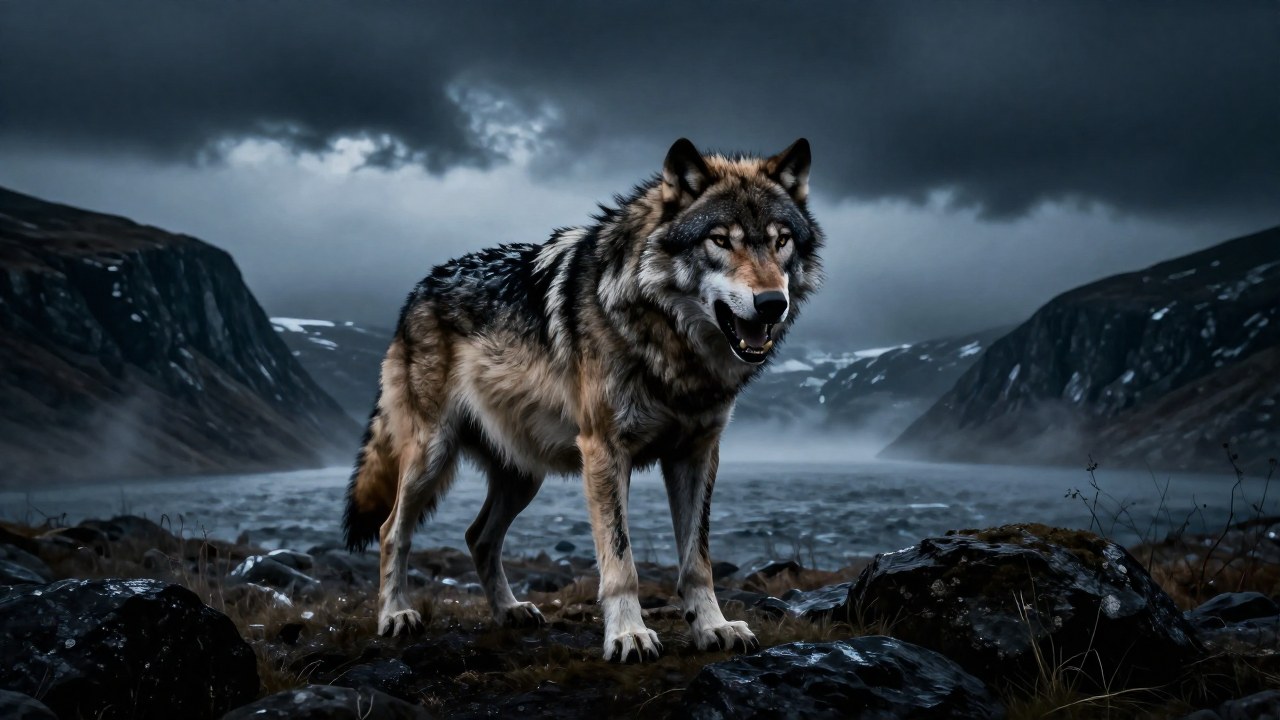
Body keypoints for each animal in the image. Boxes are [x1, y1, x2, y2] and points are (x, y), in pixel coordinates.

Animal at [343, 138, 823, 662]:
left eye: (781, 241)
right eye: (720, 240)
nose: (772, 303)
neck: (671, 351)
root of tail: (419, 288)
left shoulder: (697, 454)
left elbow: (698, 561)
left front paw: (713, 627)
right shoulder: (605, 450)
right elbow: (621, 560)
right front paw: (628, 635)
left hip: (523, 474)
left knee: (478, 537)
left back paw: (509, 611)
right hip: (432, 455)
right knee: (393, 530)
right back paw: (396, 614)